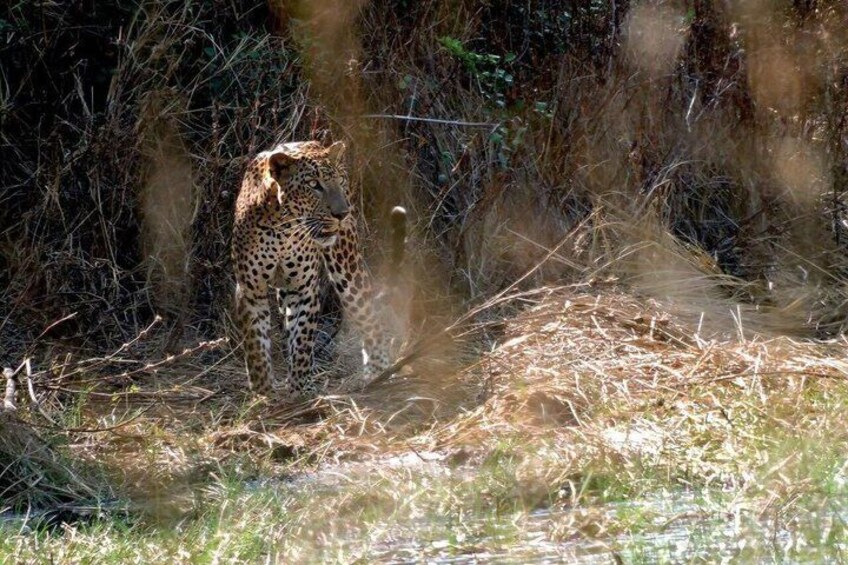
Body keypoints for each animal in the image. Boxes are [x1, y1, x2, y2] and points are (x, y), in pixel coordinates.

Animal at [232, 140, 394, 398]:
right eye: (313, 184)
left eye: (339, 180)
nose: (342, 214)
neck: (283, 228)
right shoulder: (250, 290)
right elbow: (256, 346)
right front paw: (264, 393)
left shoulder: (303, 290)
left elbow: (302, 341)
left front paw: (301, 390)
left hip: (347, 267)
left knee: (369, 317)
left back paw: (378, 374)